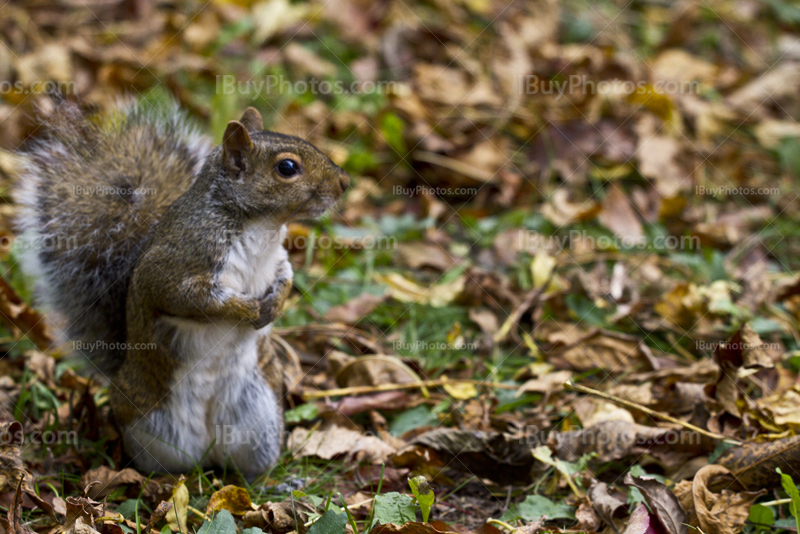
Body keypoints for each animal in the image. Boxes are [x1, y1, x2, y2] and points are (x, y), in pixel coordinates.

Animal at [14, 102, 348, 480]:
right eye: (287, 167)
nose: (343, 183)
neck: (259, 226)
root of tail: (207, 454)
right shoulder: (174, 265)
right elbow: (189, 299)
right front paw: (244, 310)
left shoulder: (277, 259)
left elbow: (285, 275)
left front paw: (275, 304)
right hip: (148, 424)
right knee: (163, 466)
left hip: (260, 418)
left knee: (245, 467)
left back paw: (269, 483)